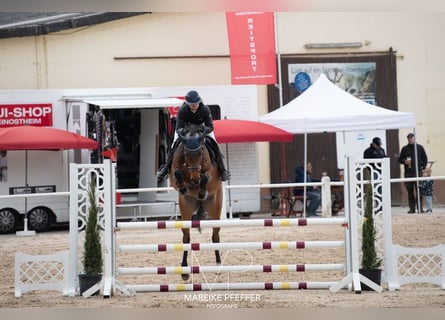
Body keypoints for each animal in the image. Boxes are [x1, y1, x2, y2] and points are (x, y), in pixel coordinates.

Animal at [170, 124, 224, 278]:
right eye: (185, 153)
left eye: (200, 153)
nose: (195, 179)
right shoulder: (175, 172)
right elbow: (177, 173)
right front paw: (184, 188)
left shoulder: (209, 173)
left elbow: (205, 177)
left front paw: (200, 190)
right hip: (186, 210)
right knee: (186, 238)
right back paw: (184, 270)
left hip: (215, 209)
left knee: (215, 235)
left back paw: (218, 265)